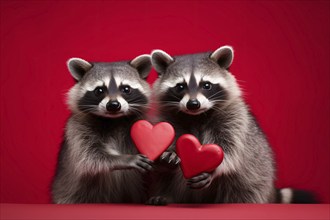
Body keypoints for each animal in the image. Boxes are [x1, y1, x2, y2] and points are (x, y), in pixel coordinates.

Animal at [51, 54, 153, 204]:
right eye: (99, 90)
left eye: (126, 89)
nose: (113, 105)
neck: (114, 119)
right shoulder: (77, 129)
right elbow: (89, 158)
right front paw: (123, 159)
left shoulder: (141, 122)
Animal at [148, 45, 284, 204]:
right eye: (180, 86)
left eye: (206, 85)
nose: (193, 104)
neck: (197, 116)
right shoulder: (168, 119)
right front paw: (169, 152)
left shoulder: (234, 118)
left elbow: (228, 149)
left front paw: (213, 169)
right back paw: (167, 196)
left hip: (258, 174)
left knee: (246, 188)